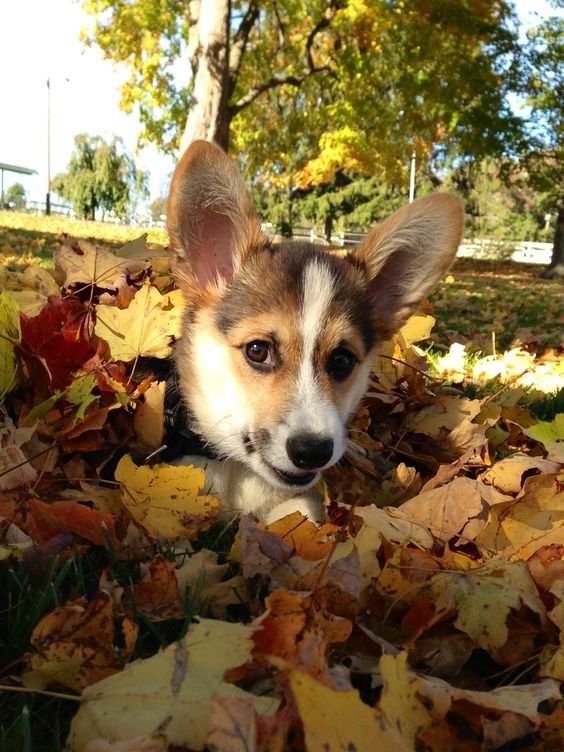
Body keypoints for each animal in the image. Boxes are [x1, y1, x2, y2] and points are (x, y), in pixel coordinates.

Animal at [166, 140, 462, 524]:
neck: (239, 471)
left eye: (342, 360)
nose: (313, 451)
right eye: (257, 350)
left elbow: (299, 515)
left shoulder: (300, 501)